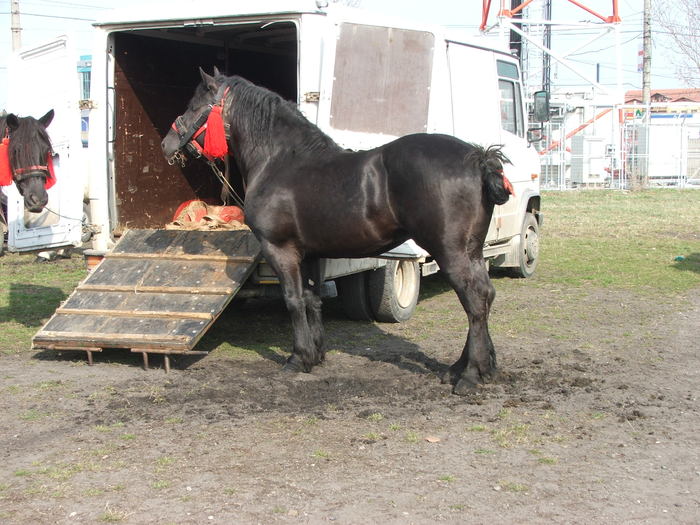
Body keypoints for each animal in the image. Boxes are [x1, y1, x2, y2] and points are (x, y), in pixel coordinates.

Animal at [164, 68, 516, 392]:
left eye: (195, 105)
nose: (167, 143)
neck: (280, 160)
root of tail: (478, 158)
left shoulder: (280, 249)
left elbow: (293, 300)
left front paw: (297, 358)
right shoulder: (308, 254)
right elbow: (312, 299)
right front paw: (316, 356)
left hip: (450, 251)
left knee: (474, 300)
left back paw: (470, 376)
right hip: (472, 251)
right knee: (486, 296)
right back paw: (470, 368)